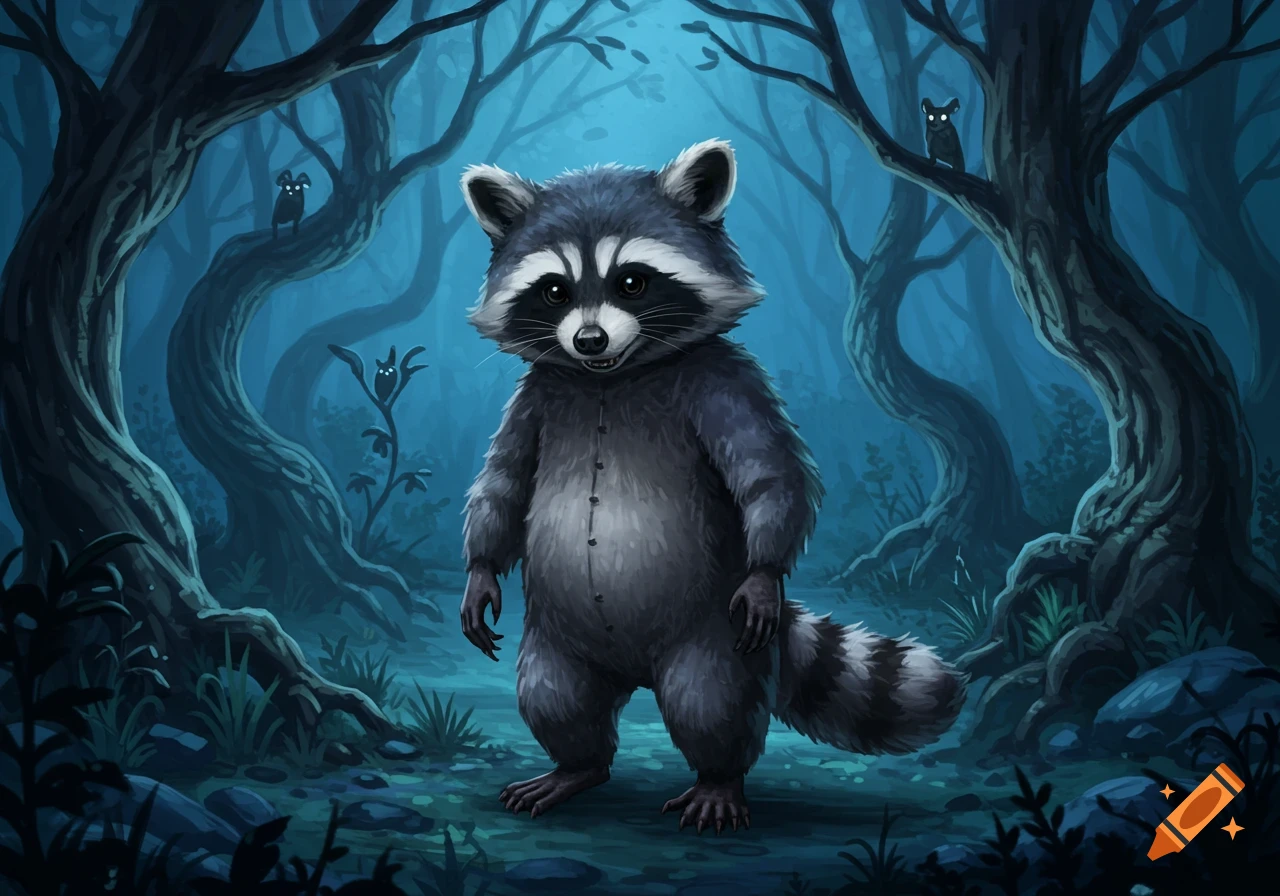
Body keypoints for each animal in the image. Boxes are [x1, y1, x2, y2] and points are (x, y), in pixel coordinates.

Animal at [458, 140, 966, 832]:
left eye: (632, 281)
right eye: (555, 290)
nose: (588, 339)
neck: (608, 378)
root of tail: (636, 672)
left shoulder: (721, 380)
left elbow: (769, 470)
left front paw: (766, 569)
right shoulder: (537, 395)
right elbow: (504, 482)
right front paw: (480, 570)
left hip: (712, 631)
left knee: (711, 701)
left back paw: (718, 779)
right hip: (557, 635)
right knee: (555, 695)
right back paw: (575, 766)